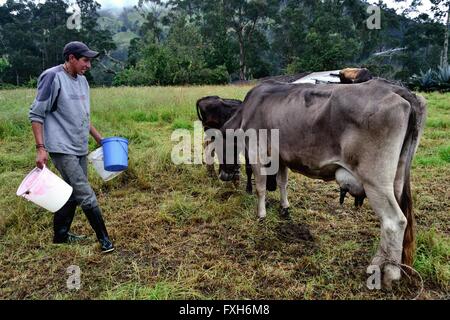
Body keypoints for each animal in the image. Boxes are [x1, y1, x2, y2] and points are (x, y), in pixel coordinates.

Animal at [220, 78, 428, 288]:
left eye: (220, 147)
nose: (223, 175)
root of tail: (395, 88)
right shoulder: (281, 156)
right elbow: (282, 182)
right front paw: (284, 207)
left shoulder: (257, 152)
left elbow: (261, 187)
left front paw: (261, 215)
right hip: (397, 179)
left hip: (376, 181)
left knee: (395, 221)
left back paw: (385, 271)